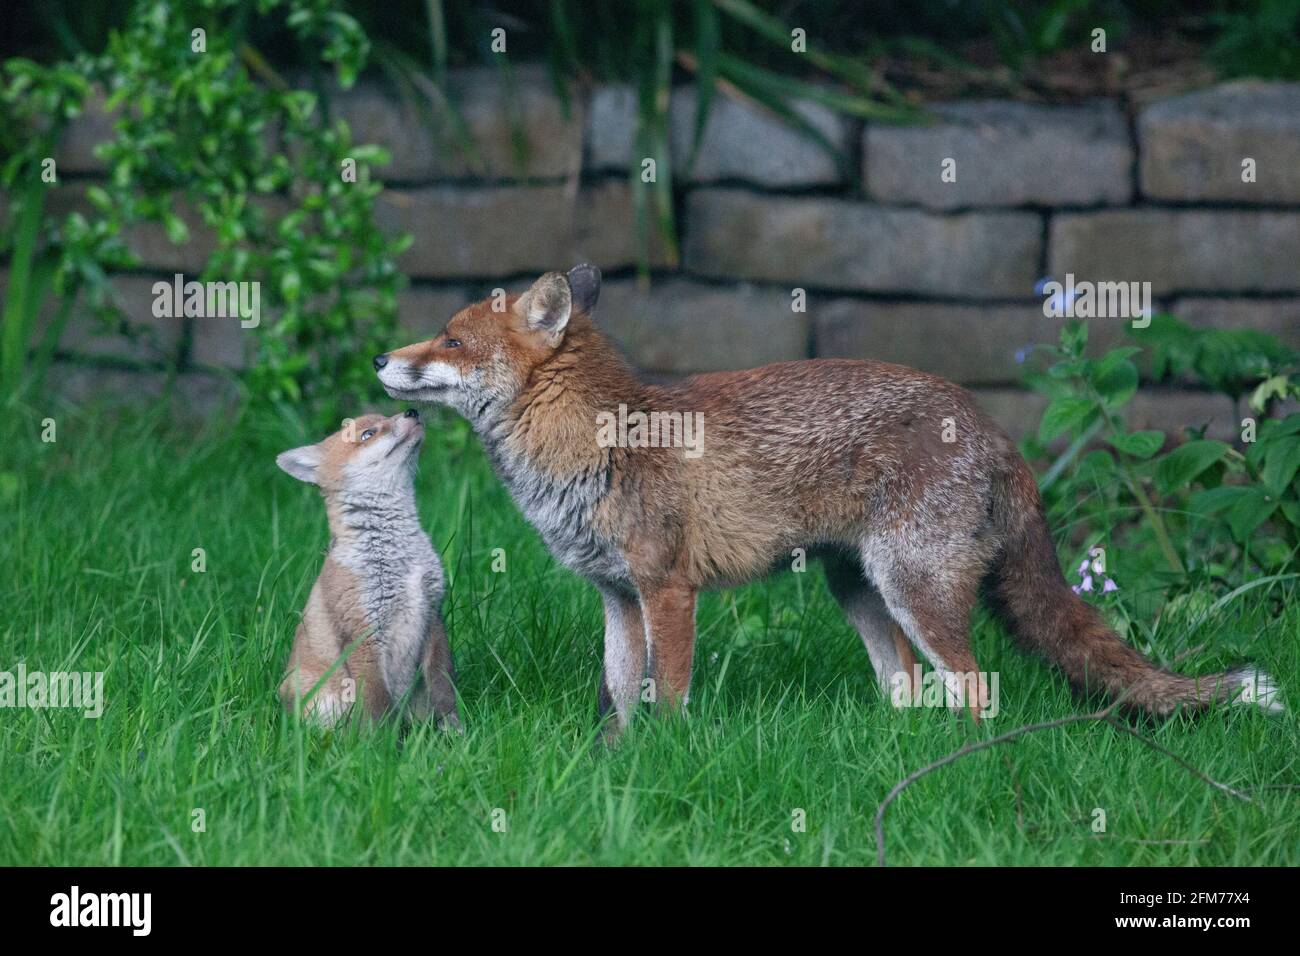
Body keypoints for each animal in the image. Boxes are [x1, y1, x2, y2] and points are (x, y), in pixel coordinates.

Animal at [275, 409, 460, 729]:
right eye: (368, 434)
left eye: (386, 415)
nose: (412, 410)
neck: (399, 558)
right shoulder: (363, 635)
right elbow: (377, 706)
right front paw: (382, 743)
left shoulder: (432, 616)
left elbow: (443, 690)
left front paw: (457, 733)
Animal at [375, 263, 1281, 739]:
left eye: (450, 339)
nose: (383, 359)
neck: (598, 440)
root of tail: (997, 430)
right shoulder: (617, 597)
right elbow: (620, 696)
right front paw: (611, 763)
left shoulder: (669, 589)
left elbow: (670, 693)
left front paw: (665, 757)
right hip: (859, 589)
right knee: (907, 684)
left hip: (912, 586)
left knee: (976, 687)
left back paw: (959, 769)